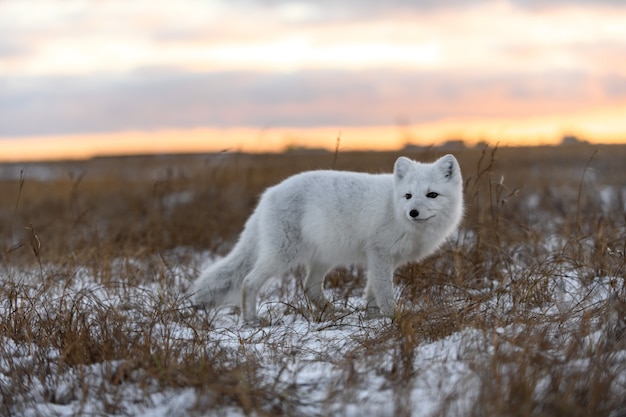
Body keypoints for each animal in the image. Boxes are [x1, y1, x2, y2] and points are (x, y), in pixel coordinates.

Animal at [193, 154, 460, 324]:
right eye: (408, 196)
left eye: (432, 195)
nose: (413, 212)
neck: (394, 209)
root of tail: (268, 194)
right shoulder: (380, 254)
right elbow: (383, 291)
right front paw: (393, 318)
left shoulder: (382, 259)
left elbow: (371, 291)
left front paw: (372, 318)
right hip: (282, 255)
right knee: (249, 281)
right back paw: (252, 320)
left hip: (323, 257)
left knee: (309, 286)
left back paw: (331, 313)